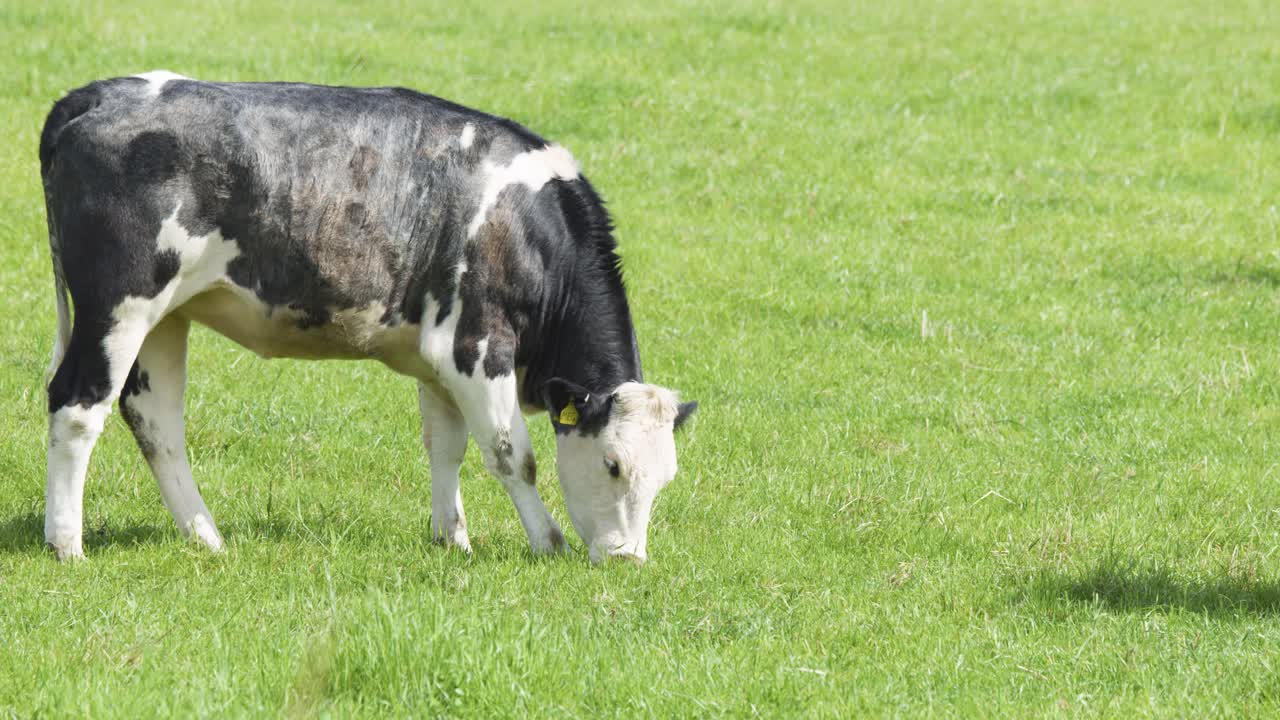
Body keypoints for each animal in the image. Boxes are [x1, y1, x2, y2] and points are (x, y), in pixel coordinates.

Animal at [39, 71, 696, 564]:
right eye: (613, 464)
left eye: (666, 478)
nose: (628, 559)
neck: (525, 226)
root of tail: (98, 93)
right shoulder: (476, 345)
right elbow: (513, 455)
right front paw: (548, 542)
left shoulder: (437, 360)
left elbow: (446, 447)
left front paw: (453, 539)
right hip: (119, 307)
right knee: (77, 407)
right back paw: (67, 544)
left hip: (166, 316)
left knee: (155, 420)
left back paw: (206, 536)